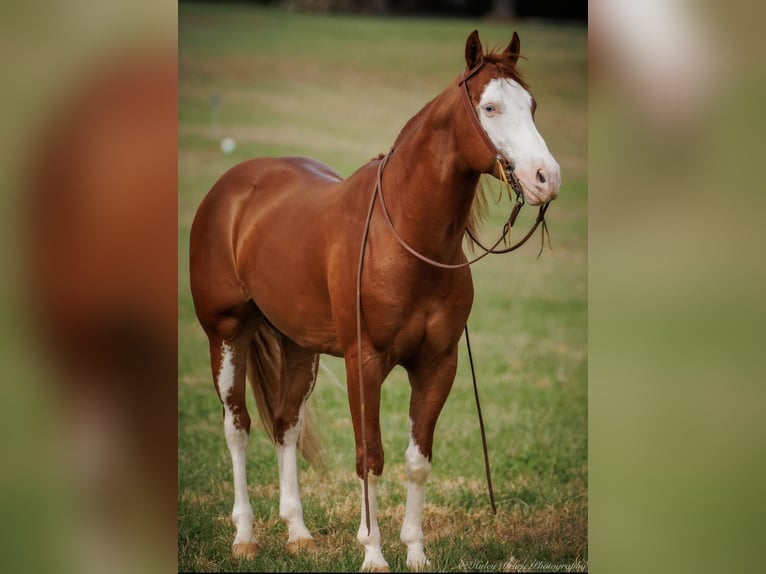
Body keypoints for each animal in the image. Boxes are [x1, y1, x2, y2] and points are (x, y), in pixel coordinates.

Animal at [190, 30, 564, 572]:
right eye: (490, 107)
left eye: (532, 106)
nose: (546, 178)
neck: (406, 237)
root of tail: (232, 187)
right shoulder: (362, 363)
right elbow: (370, 455)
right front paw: (373, 552)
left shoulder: (437, 364)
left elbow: (417, 460)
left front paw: (416, 551)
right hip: (225, 333)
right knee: (237, 426)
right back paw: (245, 535)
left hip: (298, 346)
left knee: (285, 425)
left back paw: (298, 532)